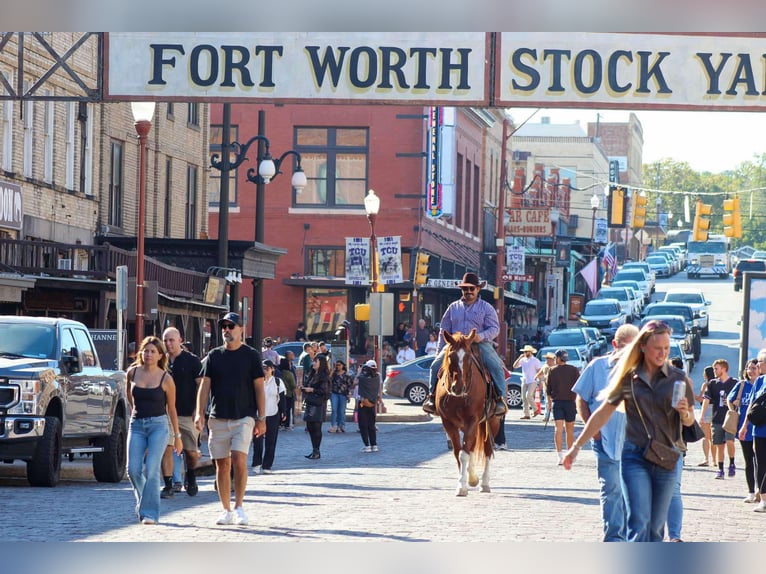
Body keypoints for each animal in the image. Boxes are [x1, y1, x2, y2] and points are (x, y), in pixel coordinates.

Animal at [438, 330, 504, 498]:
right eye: (450, 356)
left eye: (468, 357)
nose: (458, 387)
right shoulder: (448, 423)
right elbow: (459, 452)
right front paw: (467, 480)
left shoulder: (472, 420)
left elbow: (464, 453)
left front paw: (463, 485)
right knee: (472, 447)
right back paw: (473, 476)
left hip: (492, 422)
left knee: (487, 450)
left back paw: (484, 483)